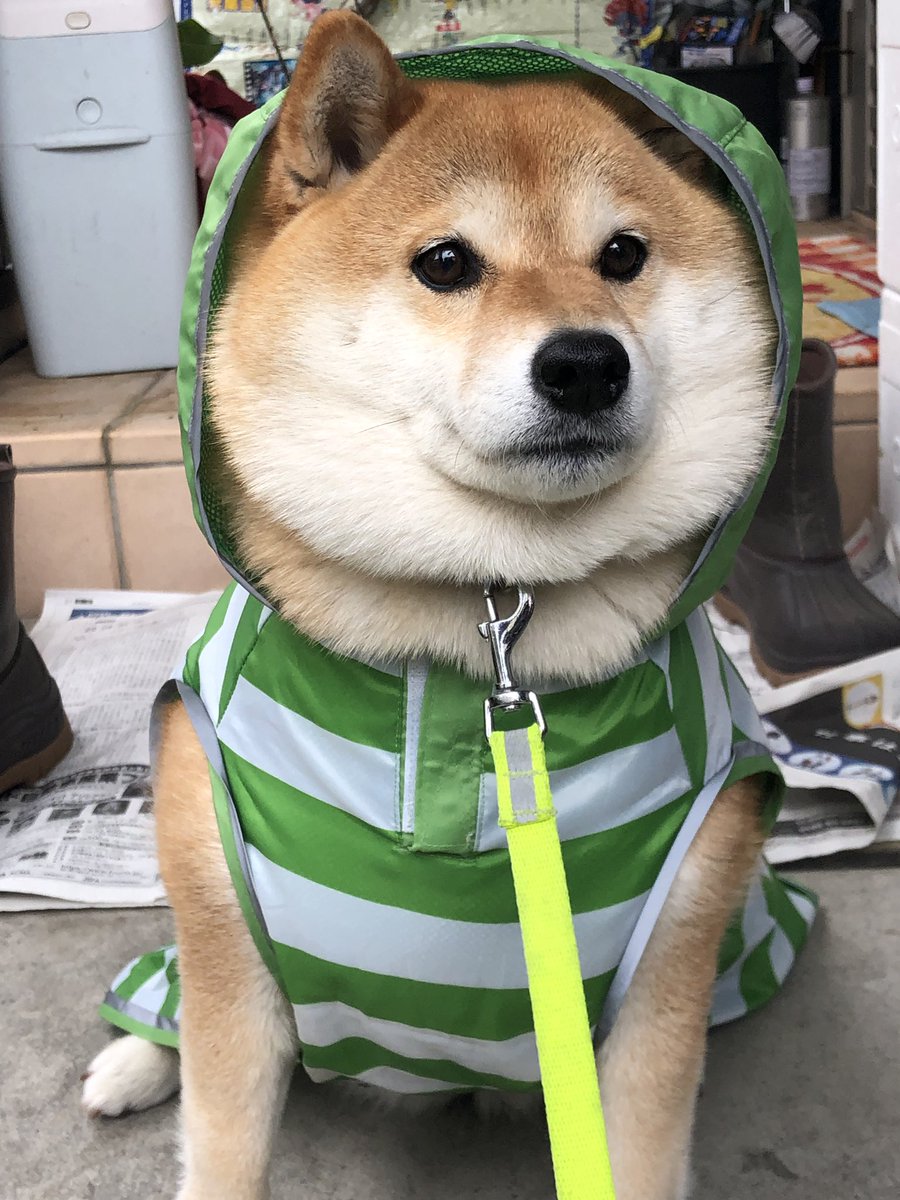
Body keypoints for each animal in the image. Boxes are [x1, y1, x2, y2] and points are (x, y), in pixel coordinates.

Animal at [81, 13, 797, 1199]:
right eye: (447, 263)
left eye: (623, 256)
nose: (586, 364)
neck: (486, 628)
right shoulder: (233, 946)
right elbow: (223, 1139)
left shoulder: (665, 980)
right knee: (172, 983)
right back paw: (136, 1059)